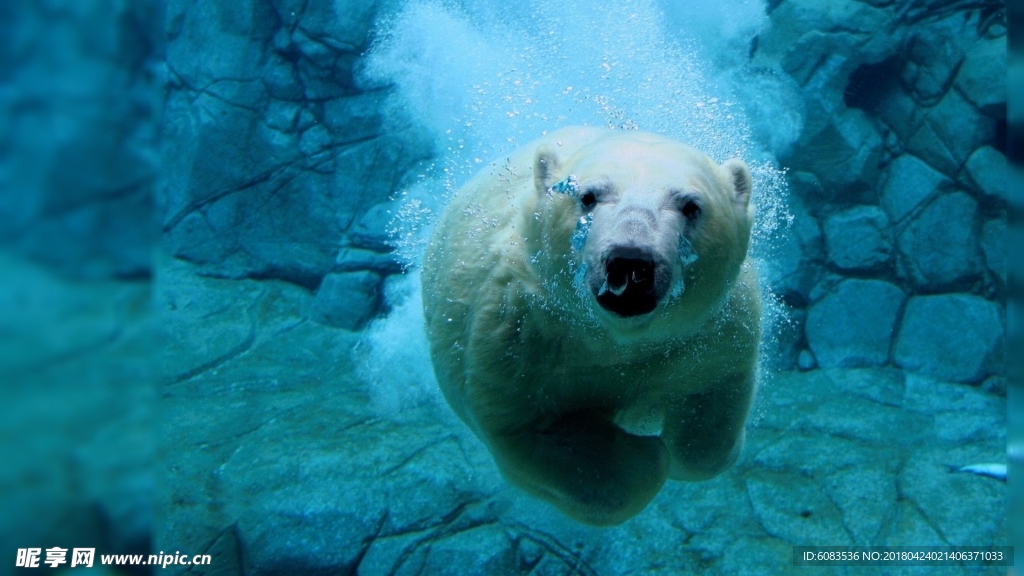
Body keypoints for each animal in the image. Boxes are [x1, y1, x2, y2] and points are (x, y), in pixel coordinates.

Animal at [417, 126, 761, 524]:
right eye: (587, 196)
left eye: (691, 205)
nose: (631, 261)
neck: (615, 339)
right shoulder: (517, 335)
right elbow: (532, 432)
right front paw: (646, 455)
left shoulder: (710, 331)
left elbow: (711, 412)